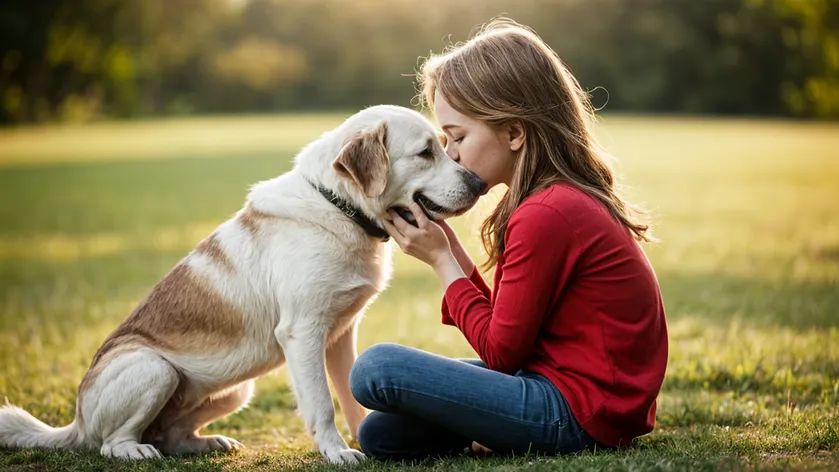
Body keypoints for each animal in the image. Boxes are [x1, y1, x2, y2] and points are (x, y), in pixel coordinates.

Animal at [0, 105, 486, 462]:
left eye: (444, 145)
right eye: (425, 152)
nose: (481, 182)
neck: (338, 207)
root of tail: (76, 420)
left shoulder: (340, 335)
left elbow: (349, 400)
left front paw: (357, 437)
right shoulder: (303, 332)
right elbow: (322, 403)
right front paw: (336, 452)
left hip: (235, 389)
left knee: (169, 436)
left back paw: (206, 442)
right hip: (153, 368)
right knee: (110, 443)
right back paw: (135, 450)